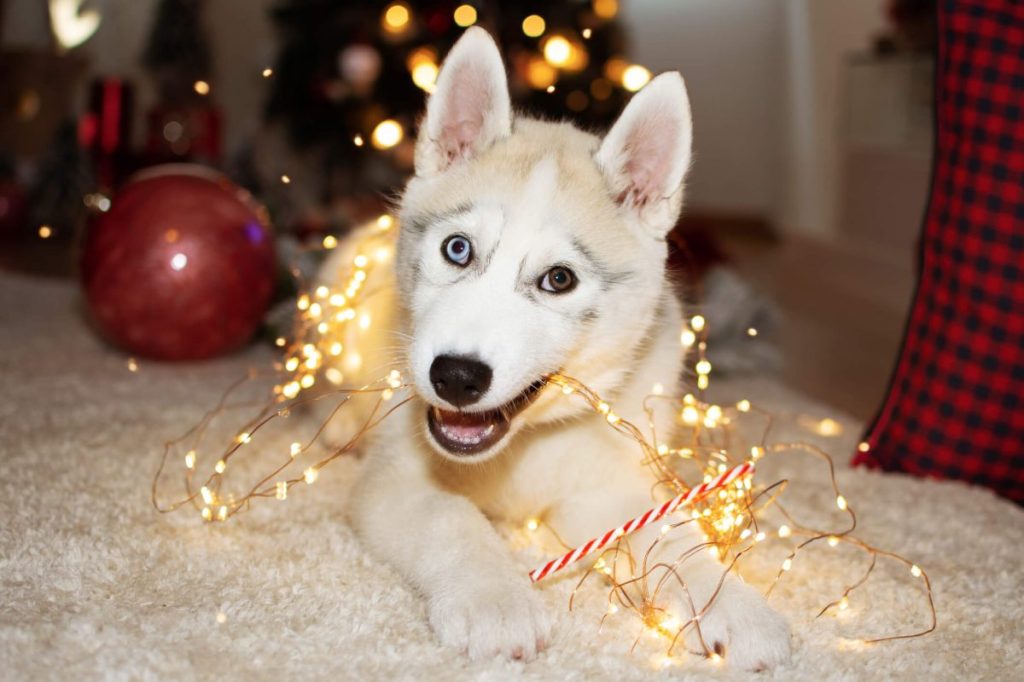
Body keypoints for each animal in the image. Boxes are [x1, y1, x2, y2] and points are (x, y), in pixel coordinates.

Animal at [323, 26, 786, 667]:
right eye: (457, 249)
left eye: (558, 279)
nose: (456, 377)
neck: (521, 446)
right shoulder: (396, 481)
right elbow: (451, 519)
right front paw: (494, 599)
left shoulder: (608, 489)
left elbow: (672, 534)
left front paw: (730, 599)